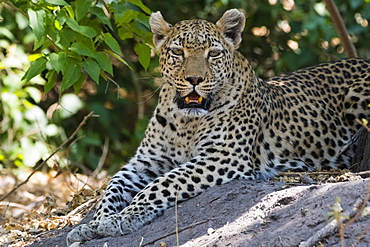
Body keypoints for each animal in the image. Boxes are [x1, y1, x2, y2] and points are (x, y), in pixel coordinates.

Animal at [66, 9, 370, 245]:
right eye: (178, 52)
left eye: (213, 54)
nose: (194, 79)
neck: (185, 122)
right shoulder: (147, 160)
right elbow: (113, 185)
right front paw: (95, 223)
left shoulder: (223, 156)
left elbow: (162, 183)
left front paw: (123, 218)